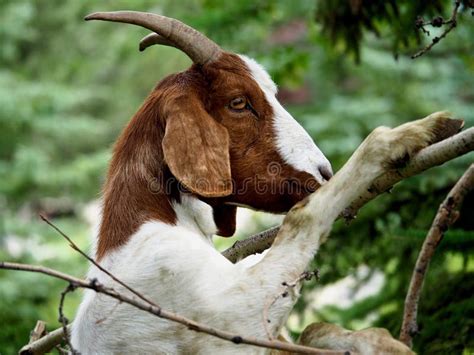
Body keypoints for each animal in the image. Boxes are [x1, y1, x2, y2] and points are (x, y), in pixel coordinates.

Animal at [71, 9, 460, 354]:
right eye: (239, 102)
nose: (323, 173)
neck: (150, 225)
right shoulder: (230, 316)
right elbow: (304, 216)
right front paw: (413, 132)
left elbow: (314, 329)